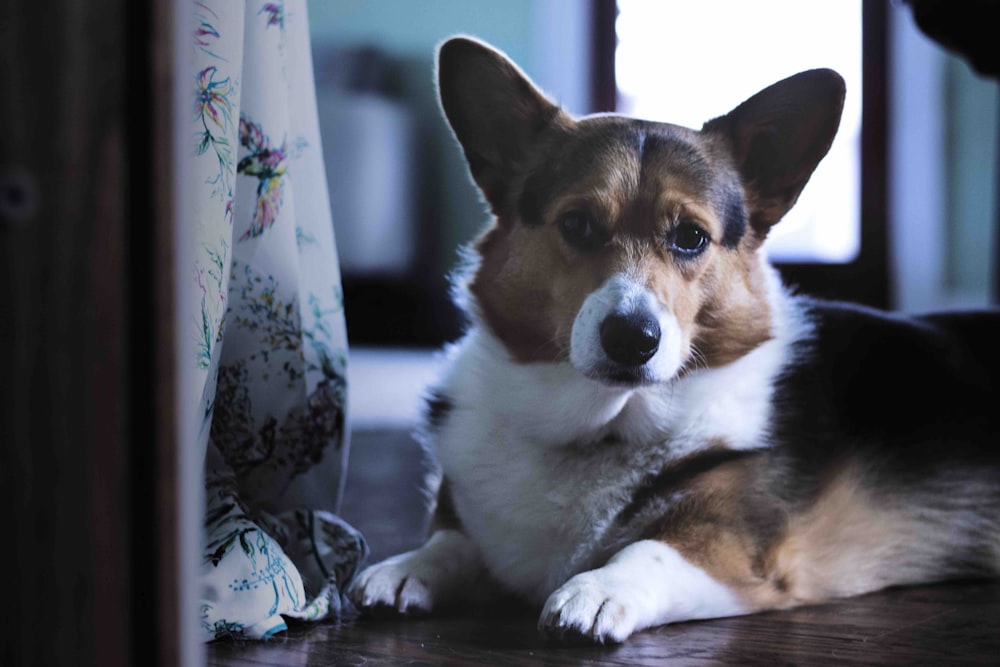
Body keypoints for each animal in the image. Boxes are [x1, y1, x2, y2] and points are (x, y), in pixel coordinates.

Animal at [346, 37, 1000, 648]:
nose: (632, 338)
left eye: (690, 237)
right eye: (577, 224)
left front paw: (595, 589)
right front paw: (407, 567)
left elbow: (647, 549)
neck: (602, 429)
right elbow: (452, 537)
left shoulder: (732, 548)